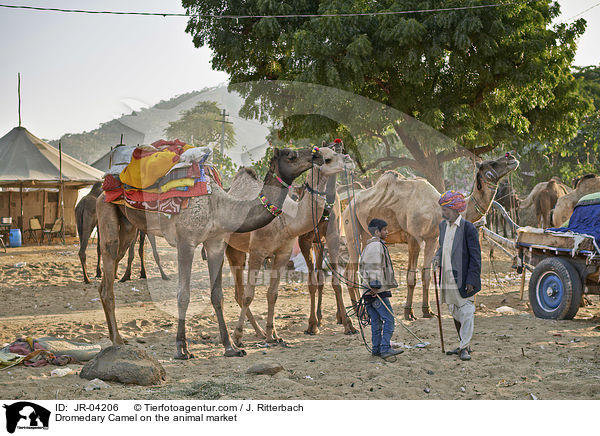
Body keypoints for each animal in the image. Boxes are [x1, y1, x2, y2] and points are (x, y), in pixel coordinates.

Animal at [96, 146, 326, 358]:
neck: (220, 207)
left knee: (107, 277)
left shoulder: (215, 243)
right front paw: (182, 349)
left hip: (128, 228)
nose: (317, 154)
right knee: (108, 273)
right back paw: (117, 341)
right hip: (106, 212)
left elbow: (217, 296)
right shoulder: (186, 242)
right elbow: (183, 295)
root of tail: (105, 184)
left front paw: (231, 347)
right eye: (292, 155)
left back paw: (116, 337)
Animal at [226, 148, 356, 346]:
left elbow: (272, 294)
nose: (349, 160)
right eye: (327, 158)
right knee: (236, 292)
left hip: (238, 250)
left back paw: (261, 333)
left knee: (238, 292)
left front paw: (273, 335)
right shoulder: (257, 252)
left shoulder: (283, 253)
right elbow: (249, 295)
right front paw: (238, 336)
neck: (286, 220)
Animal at [340, 153, 516, 320]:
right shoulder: (414, 238)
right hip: (351, 224)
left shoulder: (433, 239)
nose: (512, 158)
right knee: (350, 270)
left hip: (365, 234)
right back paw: (356, 312)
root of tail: (349, 204)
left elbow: (426, 275)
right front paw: (409, 312)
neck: (436, 209)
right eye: (492, 163)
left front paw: (428, 311)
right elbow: (411, 276)